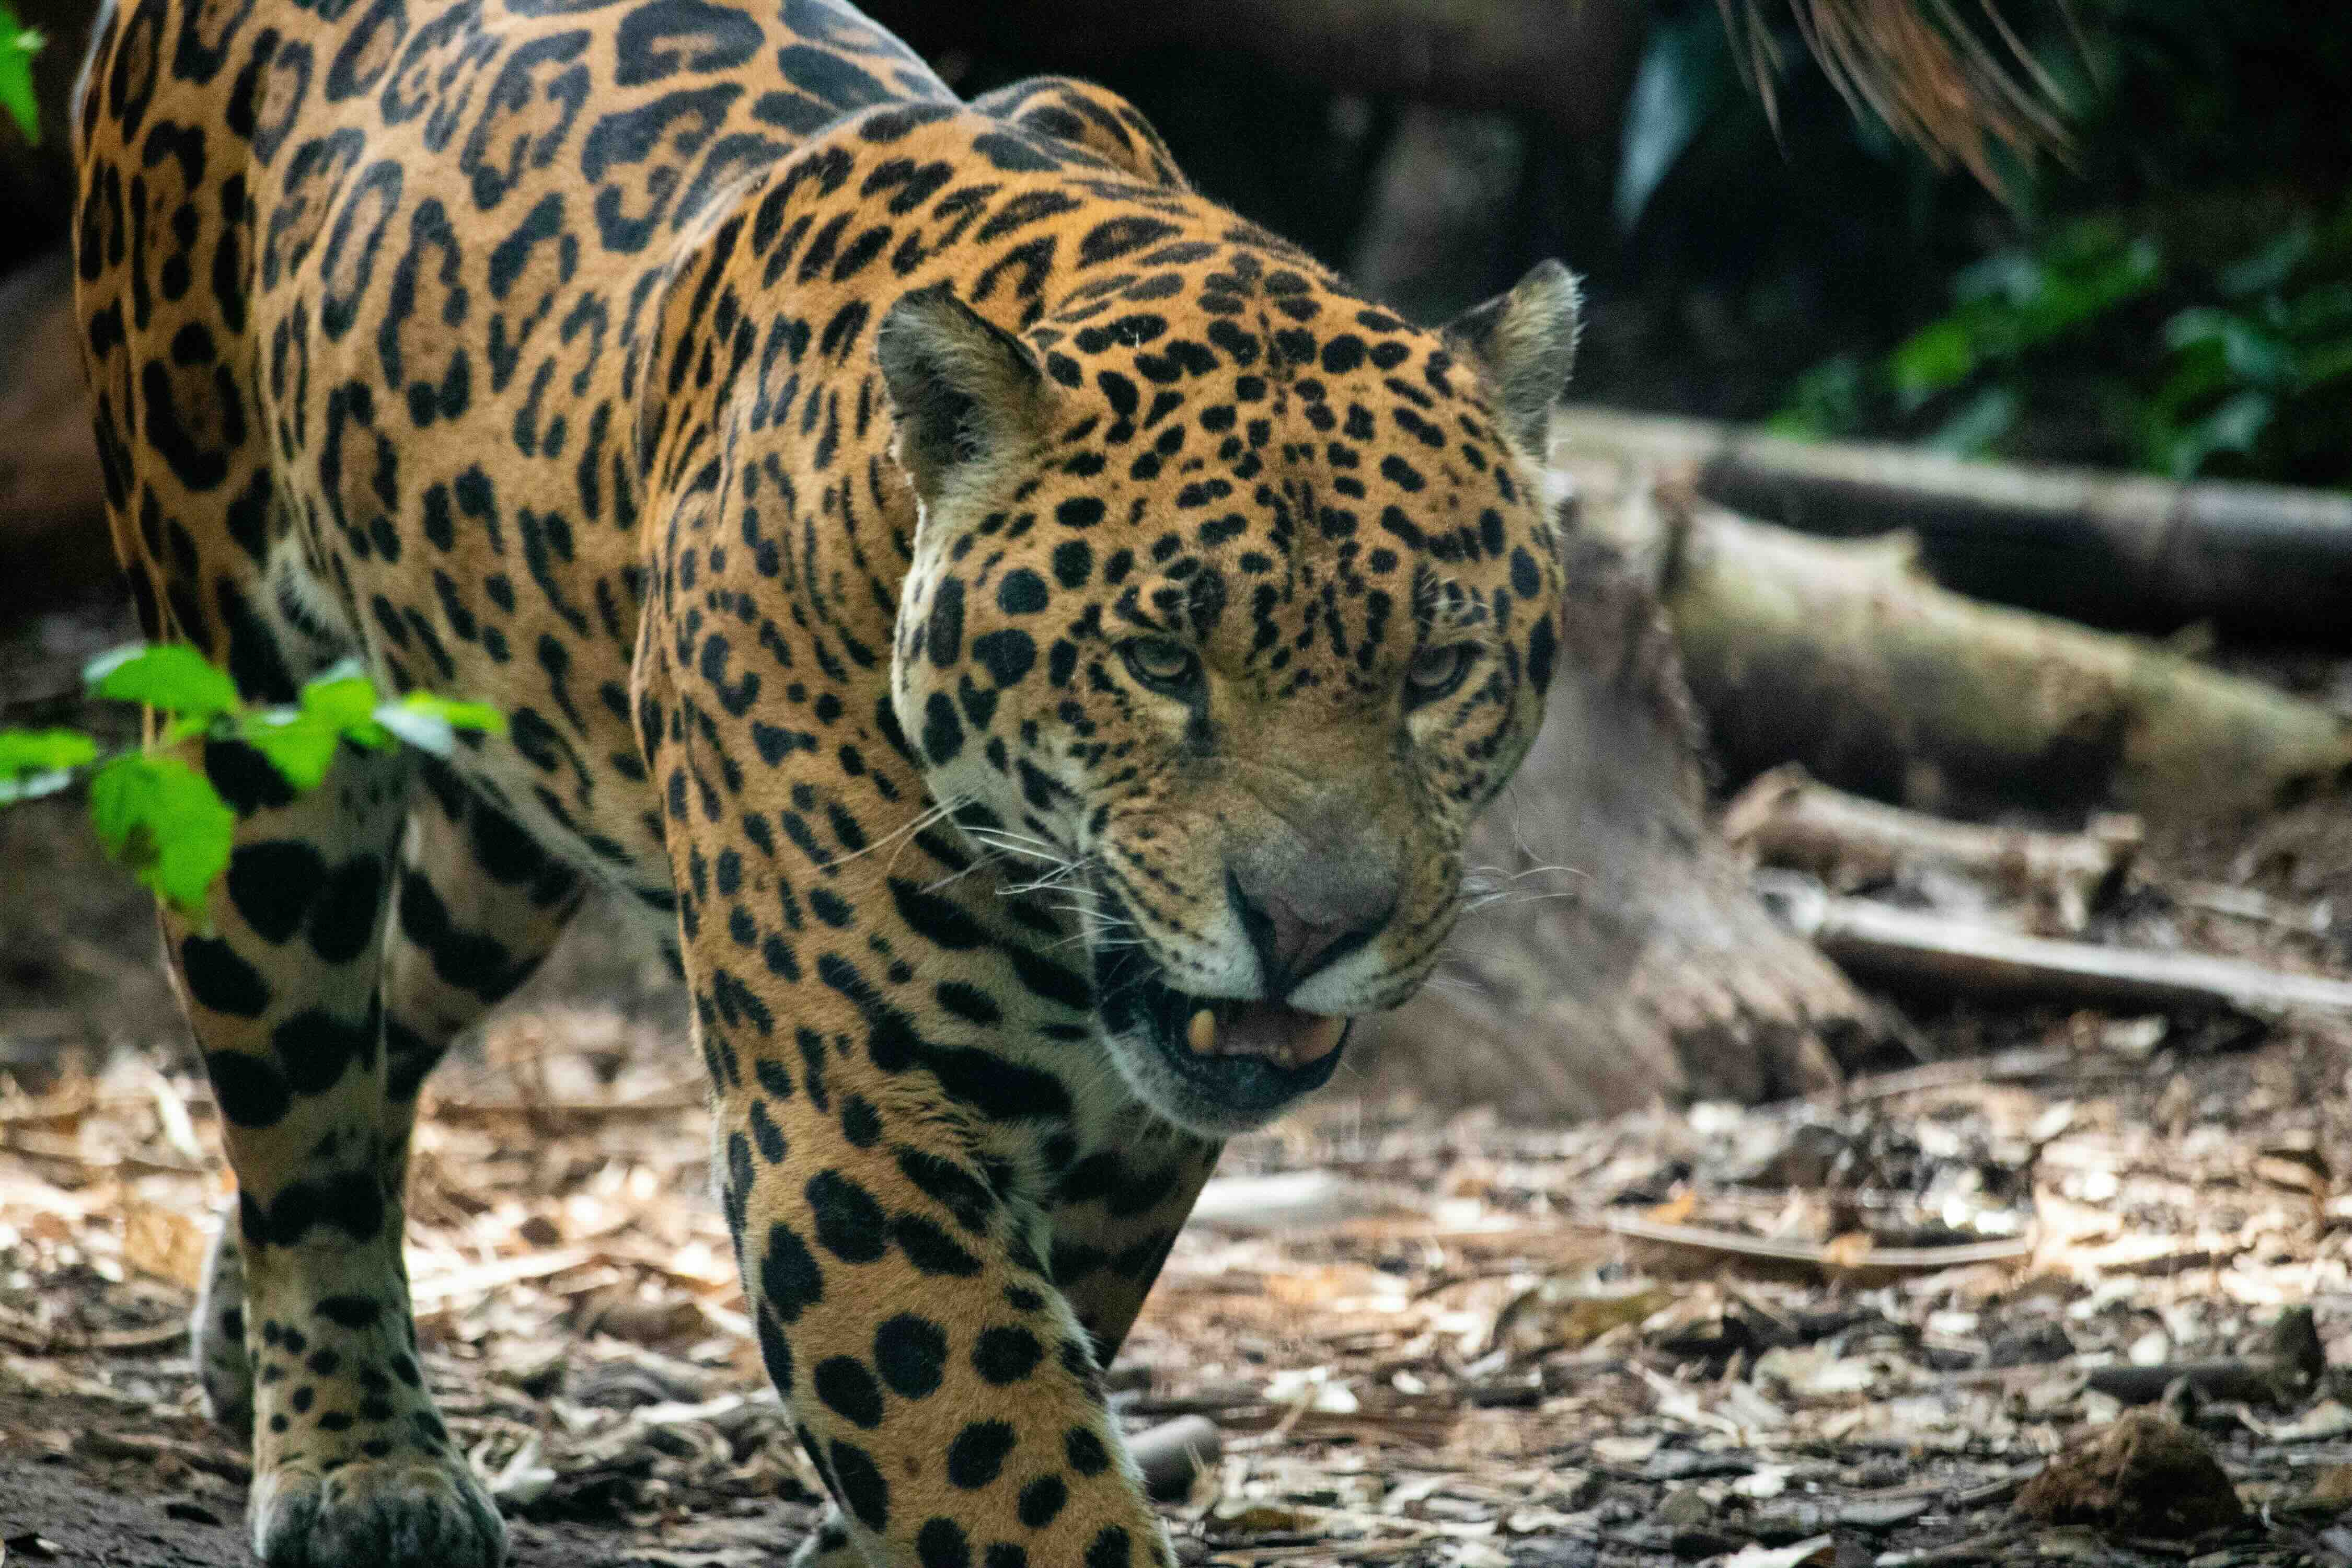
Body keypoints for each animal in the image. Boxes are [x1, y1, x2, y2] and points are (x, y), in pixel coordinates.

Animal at [68, 0, 1578, 1563]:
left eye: (1435, 670)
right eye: (1160, 658)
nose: (1308, 928)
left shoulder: (1131, 1137)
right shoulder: (856, 1119)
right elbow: (1007, 1459)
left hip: (513, 812)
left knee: (392, 1022)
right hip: (248, 724)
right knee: (298, 1098)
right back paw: (359, 1459)